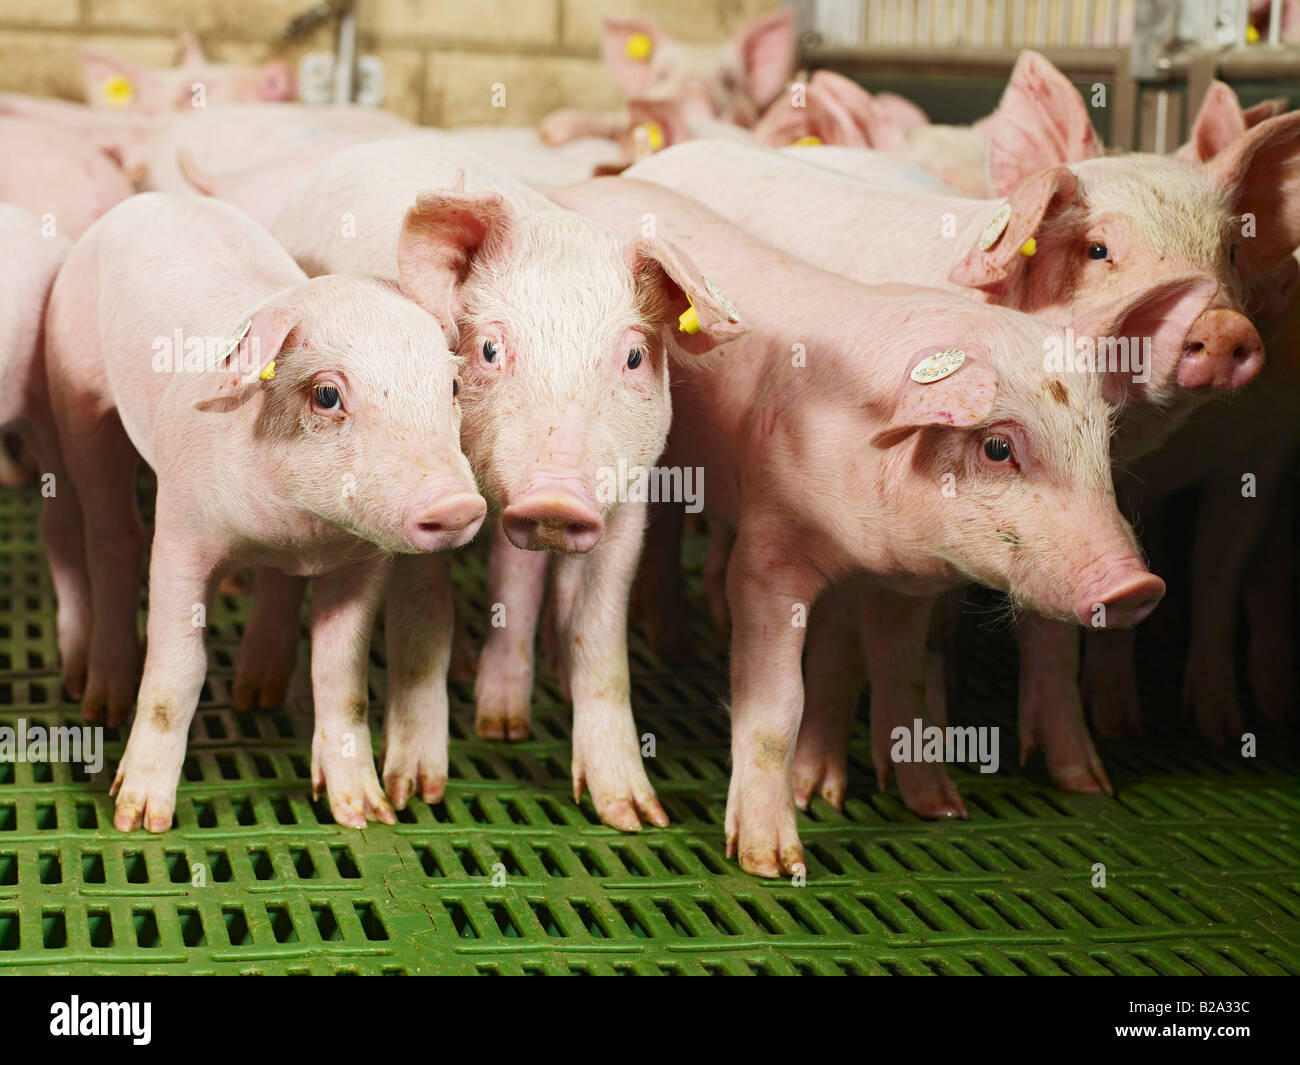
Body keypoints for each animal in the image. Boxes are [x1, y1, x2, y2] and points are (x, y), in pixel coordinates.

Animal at [44, 193, 488, 832]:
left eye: (451, 386)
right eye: (326, 395)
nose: (457, 503)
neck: (292, 527)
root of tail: (146, 198)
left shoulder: (363, 563)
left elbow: (342, 675)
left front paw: (366, 815)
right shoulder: (180, 531)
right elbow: (179, 668)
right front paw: (140, 819)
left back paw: (257, 696)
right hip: (75, 395)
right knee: (114, 538)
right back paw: (102, 706)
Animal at [553, 172, 1164, 873]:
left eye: (1103, 442)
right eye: (997, 447)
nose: (1137, 586)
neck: (870, 550)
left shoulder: (904, 583)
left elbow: (896, 670)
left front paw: (939, 809)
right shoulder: (767, 554)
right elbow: (776, 704)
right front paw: (773, 862)